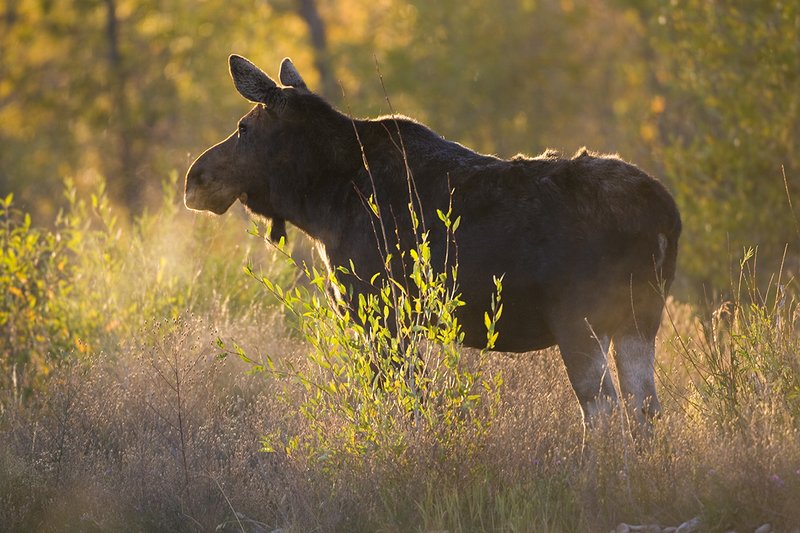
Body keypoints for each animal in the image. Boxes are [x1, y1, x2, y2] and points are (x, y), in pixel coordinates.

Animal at [184, 55, 681, 429]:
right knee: (645, 409)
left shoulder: (380, 311)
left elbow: (405, 399)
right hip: (639, 318)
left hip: (581, 319)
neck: (321, 202)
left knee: (603, 411)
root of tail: (666, 218)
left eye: (243, 127)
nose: (195, 178)